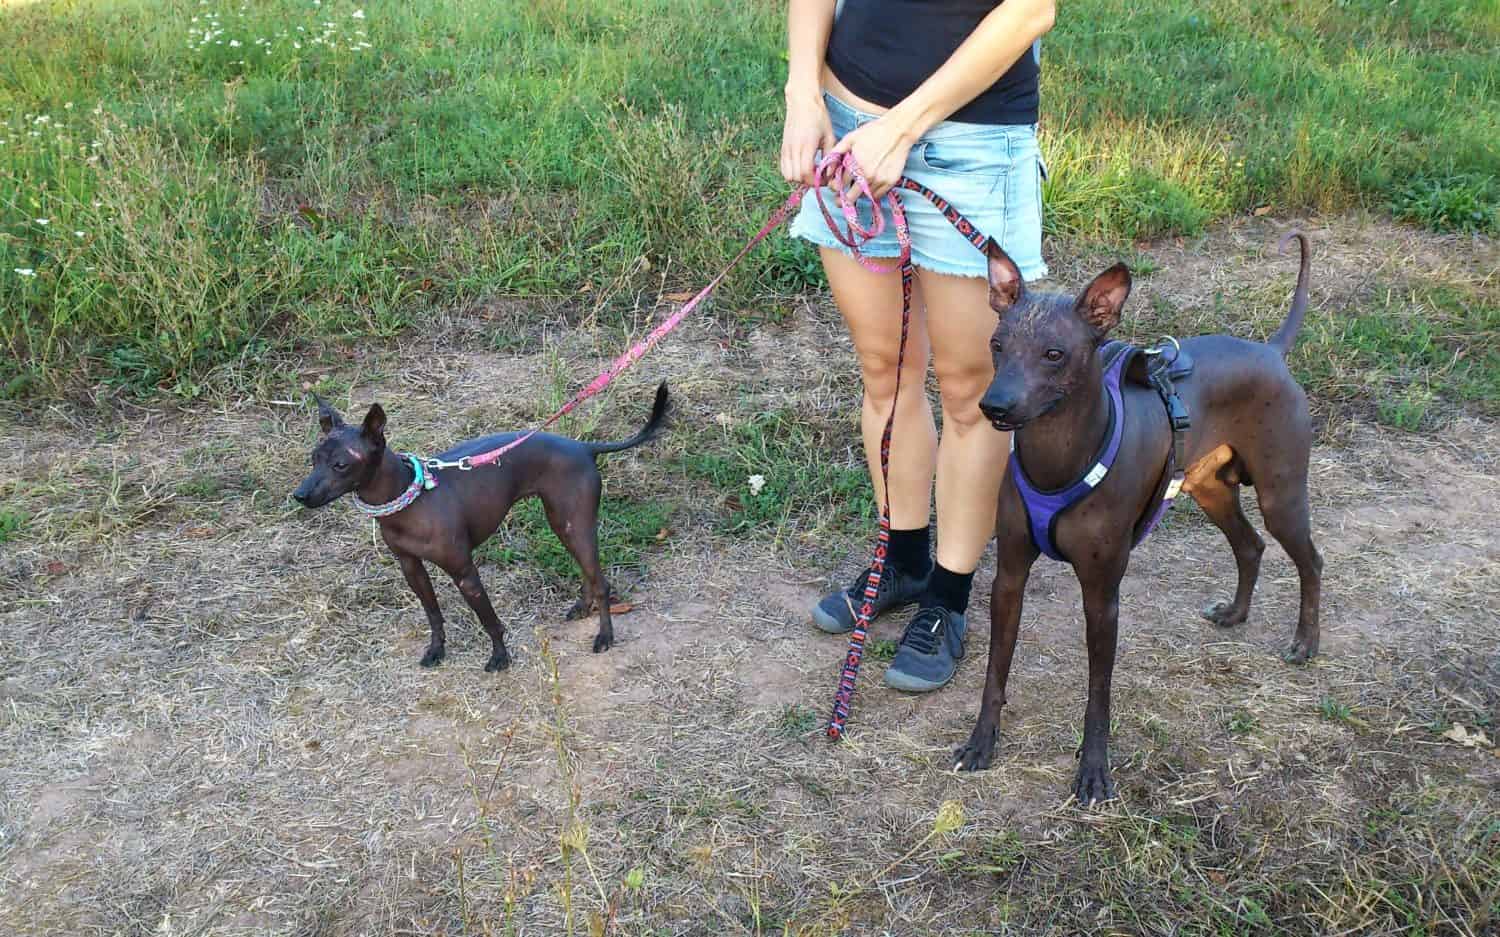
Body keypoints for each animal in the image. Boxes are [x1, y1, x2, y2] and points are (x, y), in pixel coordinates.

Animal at [292, 382, 669, 671]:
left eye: (341, 465)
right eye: (313, 459)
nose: (299, 495)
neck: (409, 499)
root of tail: (583, 446)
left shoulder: (465, 573)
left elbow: (489, 620)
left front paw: (500, 657)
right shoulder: (411, 568)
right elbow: (433, 613)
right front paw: (437, 650)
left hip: (574, 523)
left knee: (601, 581)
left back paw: (604, 635)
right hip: (563, 523)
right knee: (587, 571)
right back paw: (582, 607)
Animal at [954, 233, 1320, 803]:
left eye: (1054, 354)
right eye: (997, 345)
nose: (994, 406)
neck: (1058, 457)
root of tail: (1269, 350)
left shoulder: (1102, 595)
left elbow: (1098, 693)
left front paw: (1093, 770)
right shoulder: (1009, 578)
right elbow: (996, 671)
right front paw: (981, 742)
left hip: (1280, 495)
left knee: (1310, 560)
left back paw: (1305, 641)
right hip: (1209, 489)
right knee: (1250, 545)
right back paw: (1236, 613)